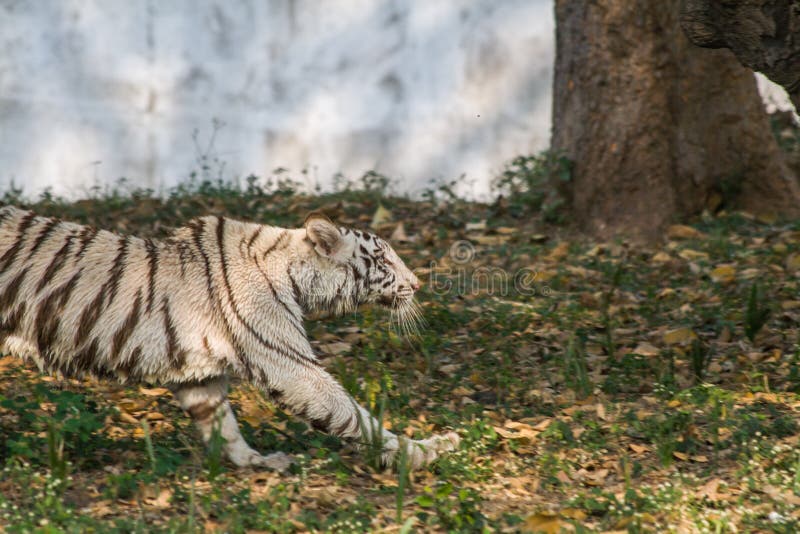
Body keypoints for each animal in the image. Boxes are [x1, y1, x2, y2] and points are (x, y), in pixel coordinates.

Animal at [0, 207, 460, 472]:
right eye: (383, 260)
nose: (418, 284)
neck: (294, 274)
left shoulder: (197, 376)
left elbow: (223, 424)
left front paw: (255, 461)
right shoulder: (288, 362)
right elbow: (353, 414)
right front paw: (425, 450)